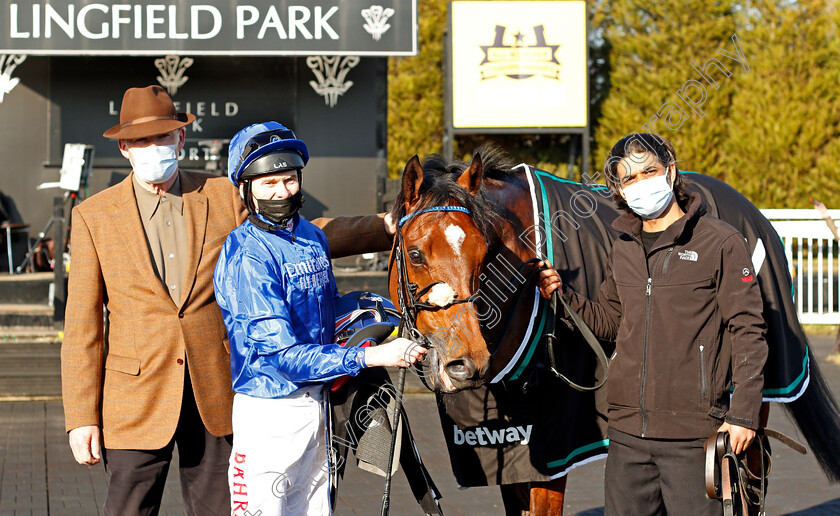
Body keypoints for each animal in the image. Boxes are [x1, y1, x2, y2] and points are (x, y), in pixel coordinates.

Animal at [390, 144, 840, 516]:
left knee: (747, 476)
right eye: (415, 253)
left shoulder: (554, 452)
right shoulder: (509, 452)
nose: (466, 364)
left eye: (485, 254)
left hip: (746, 408)